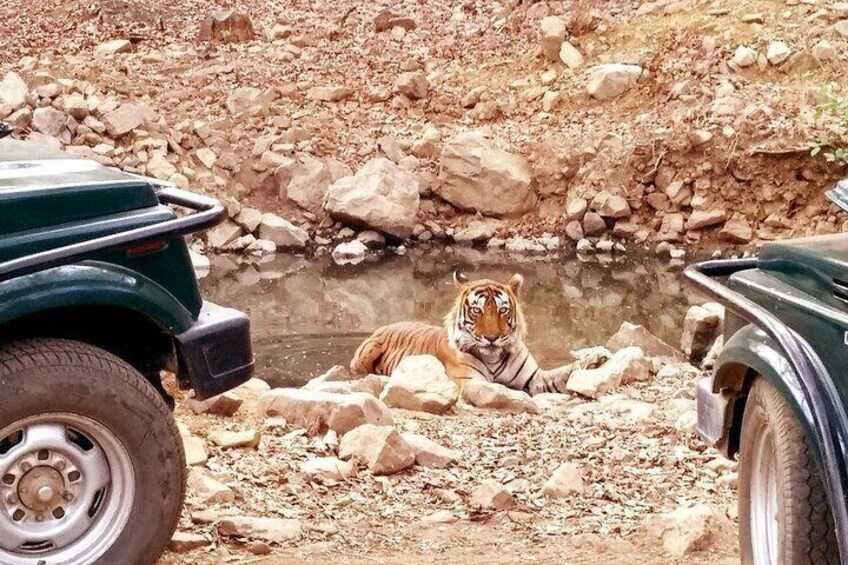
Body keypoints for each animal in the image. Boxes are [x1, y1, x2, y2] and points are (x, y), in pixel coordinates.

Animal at [348, 270, 572, 394]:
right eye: (476, 310)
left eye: (502, 310)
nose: (492, 338)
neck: (493, 358)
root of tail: (381, 326)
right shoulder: (472, 383)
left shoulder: (534, 378)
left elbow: (558, 376)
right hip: (368, 352)